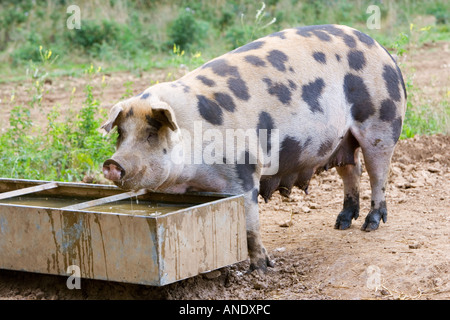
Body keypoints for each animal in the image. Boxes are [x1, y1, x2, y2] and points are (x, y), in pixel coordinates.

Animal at [102, 23, 408, 272]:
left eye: (152, 133)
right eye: (121, 133)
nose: (112, 164)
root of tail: (382, 49)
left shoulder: (245, 172)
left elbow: (250, 225)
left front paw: (261, 269)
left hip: (382, 121)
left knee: (378, 173)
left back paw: (370, 224)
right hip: (343, 139)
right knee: (352, 168)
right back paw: (341, 222)